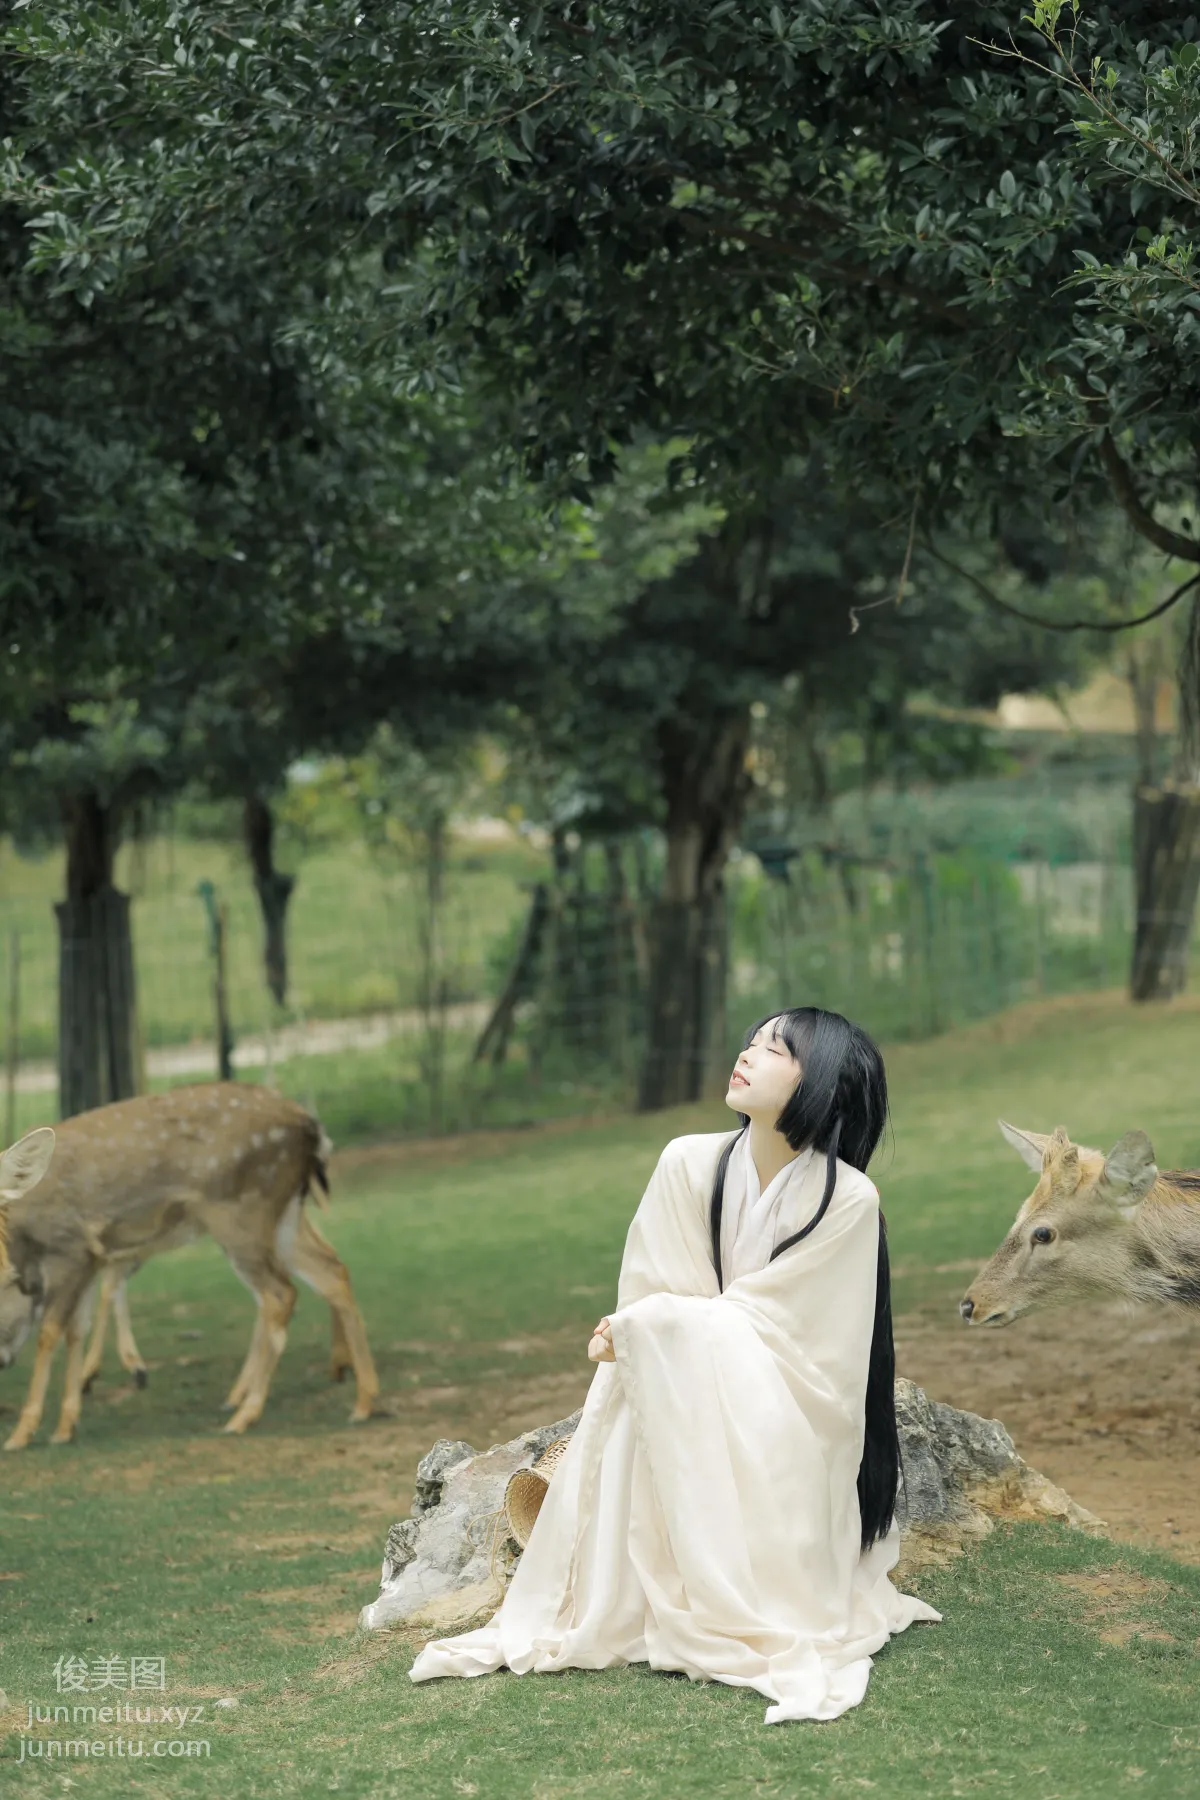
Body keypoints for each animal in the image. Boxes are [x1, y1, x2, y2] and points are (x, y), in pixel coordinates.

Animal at [0, 1082, 379, 1450]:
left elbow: (51, 1332)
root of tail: (312, 1128)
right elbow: (76, 1329)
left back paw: (245, 1412)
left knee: (280, 1293)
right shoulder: (91, 1258)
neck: (25, 1237)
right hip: (284, 1215)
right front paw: (66, 1425)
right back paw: (363, 1399)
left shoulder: (71, 1248)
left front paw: (22, 1433)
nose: (3, 1362)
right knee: (330, 1271)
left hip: (241, 1213)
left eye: (5, 1284)